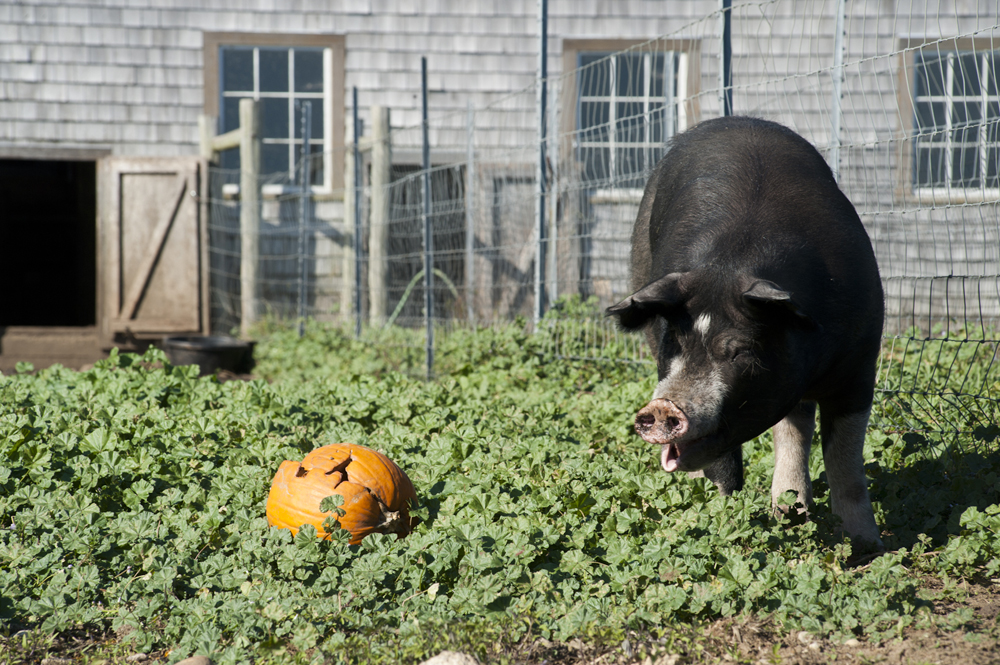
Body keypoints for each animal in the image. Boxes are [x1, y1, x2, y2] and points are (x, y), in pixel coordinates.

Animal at [606, 116, 884, 550]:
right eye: (675, 345)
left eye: (737, 352)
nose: (664, 406)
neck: (731, 264)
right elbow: (723, 463)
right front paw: (722, 523)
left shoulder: (860, 361)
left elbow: (845, 458)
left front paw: (866, 547)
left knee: (795, 424)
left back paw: (792, 515)